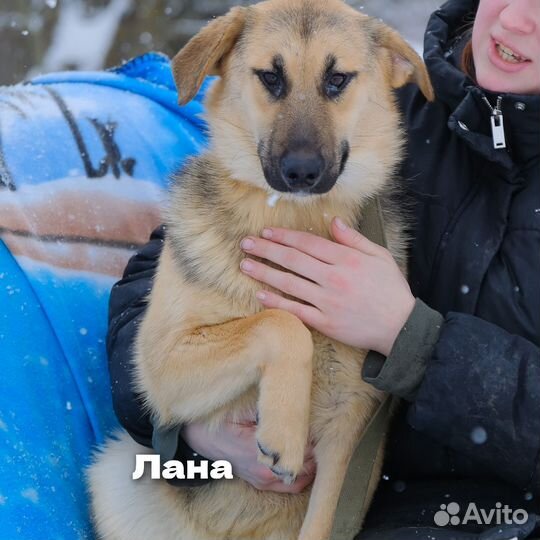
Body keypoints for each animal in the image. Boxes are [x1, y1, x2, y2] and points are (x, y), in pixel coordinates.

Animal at [88, 0, 434, 536]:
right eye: (271, 77)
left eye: (337, 80)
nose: (301, 172)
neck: (293, 217)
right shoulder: (160, 363)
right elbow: (280, 322)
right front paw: (285, 430)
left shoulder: (349, 436)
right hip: (113, 476)